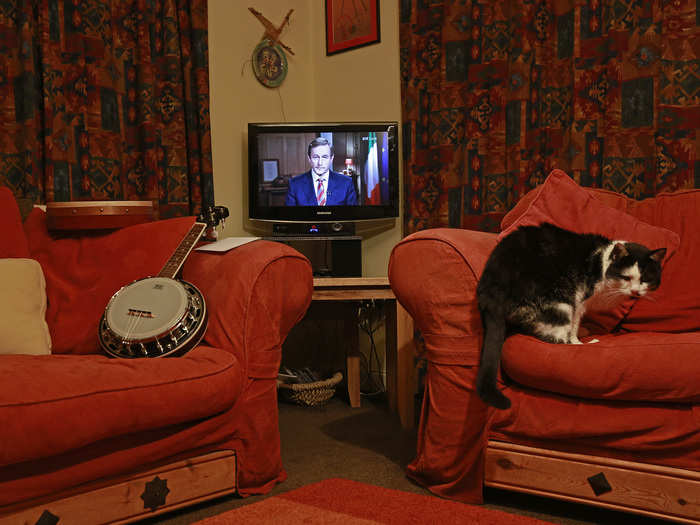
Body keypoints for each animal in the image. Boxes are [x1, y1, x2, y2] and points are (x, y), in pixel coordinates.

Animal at [476, 222, 668, 410]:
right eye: (626, 277)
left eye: (645, 279)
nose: (635, 292)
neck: (602, 264)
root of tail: (492, 285)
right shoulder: (580, 298)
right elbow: (574, 325)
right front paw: (577, 340)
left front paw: (583, 331)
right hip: (559, 300)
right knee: (558, 340)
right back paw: (586, 344)